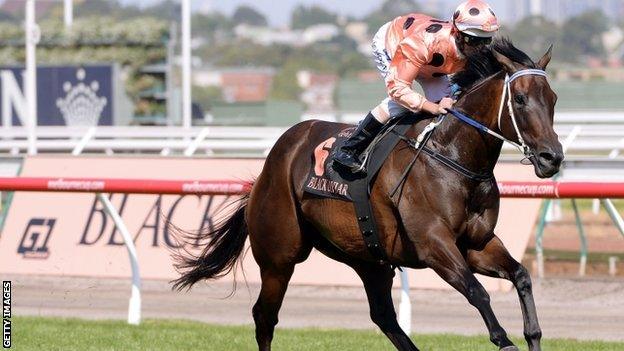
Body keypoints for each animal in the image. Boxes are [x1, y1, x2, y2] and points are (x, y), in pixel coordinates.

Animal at [173, 38, 564, 351]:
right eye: (521, 98)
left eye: (553, 99)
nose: (552, 157)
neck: (452, 157)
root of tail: (269, 167)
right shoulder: (434, 244)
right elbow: (477, 291)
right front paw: (504, 340)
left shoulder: (477, 244)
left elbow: (521, 276)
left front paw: (532, 334)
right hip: (279, 257)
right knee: (264, 316)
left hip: (366, 256)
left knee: (384, 317)